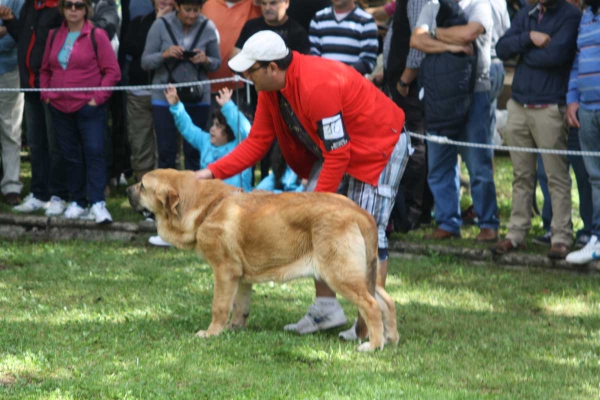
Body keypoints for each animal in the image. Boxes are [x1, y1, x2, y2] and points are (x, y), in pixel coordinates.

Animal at [126, 169, 398, 350]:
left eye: (142, 185)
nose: (128, 189)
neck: (205, 208)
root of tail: (361, 213)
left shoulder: (224, 272)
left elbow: (219, 306)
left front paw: (212, 333)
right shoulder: (240, 278)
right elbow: (240, 307)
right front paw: (234, 329)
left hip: (341, 275)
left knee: (371, 306)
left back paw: (373, 345)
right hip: (364, 274)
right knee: (386, 301)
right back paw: (391, 338)